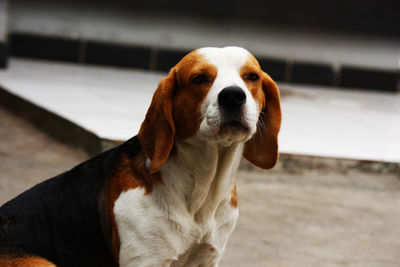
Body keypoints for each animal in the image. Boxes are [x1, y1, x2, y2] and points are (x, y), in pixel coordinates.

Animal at [0, 47, 282, 266]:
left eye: (252, 77)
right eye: (200, 78)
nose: (233, 95)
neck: (200, 189)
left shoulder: (206, 258)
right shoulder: (146, 260)